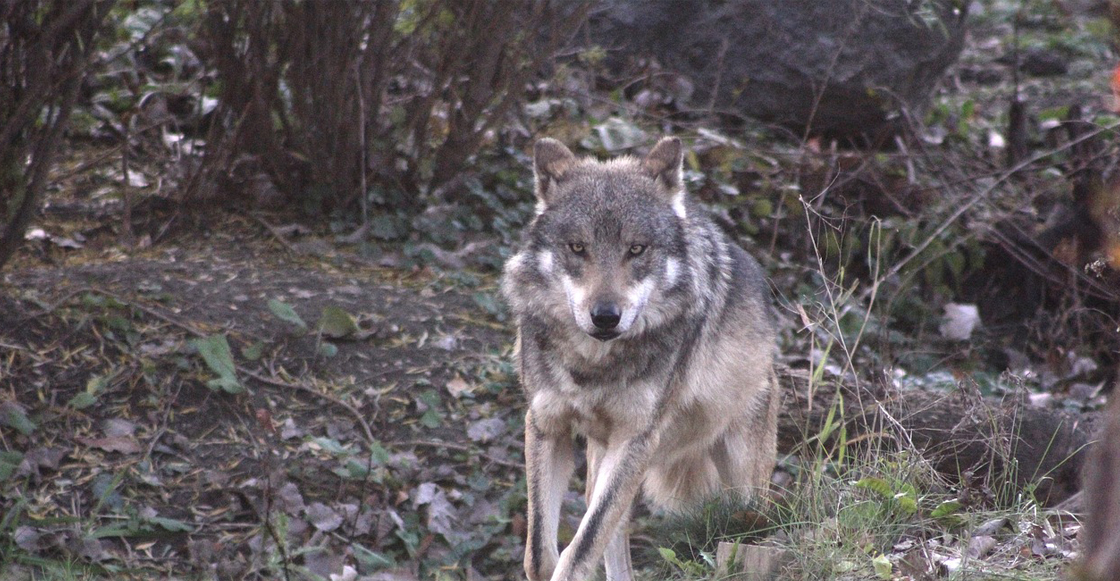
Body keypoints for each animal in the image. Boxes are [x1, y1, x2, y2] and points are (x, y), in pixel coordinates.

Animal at [501, 136, 780, 581]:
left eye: (636, 249)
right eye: (577, 247)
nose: (605, 316)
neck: (594, 364)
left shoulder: (636, 438)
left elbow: (580, 550)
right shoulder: (545, 425)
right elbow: (541, 553)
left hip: (742, 486)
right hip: (602, 461)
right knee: (614, 533)